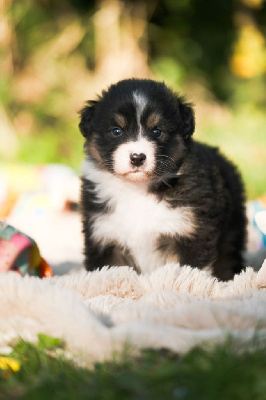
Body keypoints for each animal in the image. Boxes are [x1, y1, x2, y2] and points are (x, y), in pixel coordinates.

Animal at [79, 76, 247, 280]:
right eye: (116, 131)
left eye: (157, 131)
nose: (137, 157)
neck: (138, 190)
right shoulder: (103, 235)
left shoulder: (192, 232)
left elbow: (190, 273)